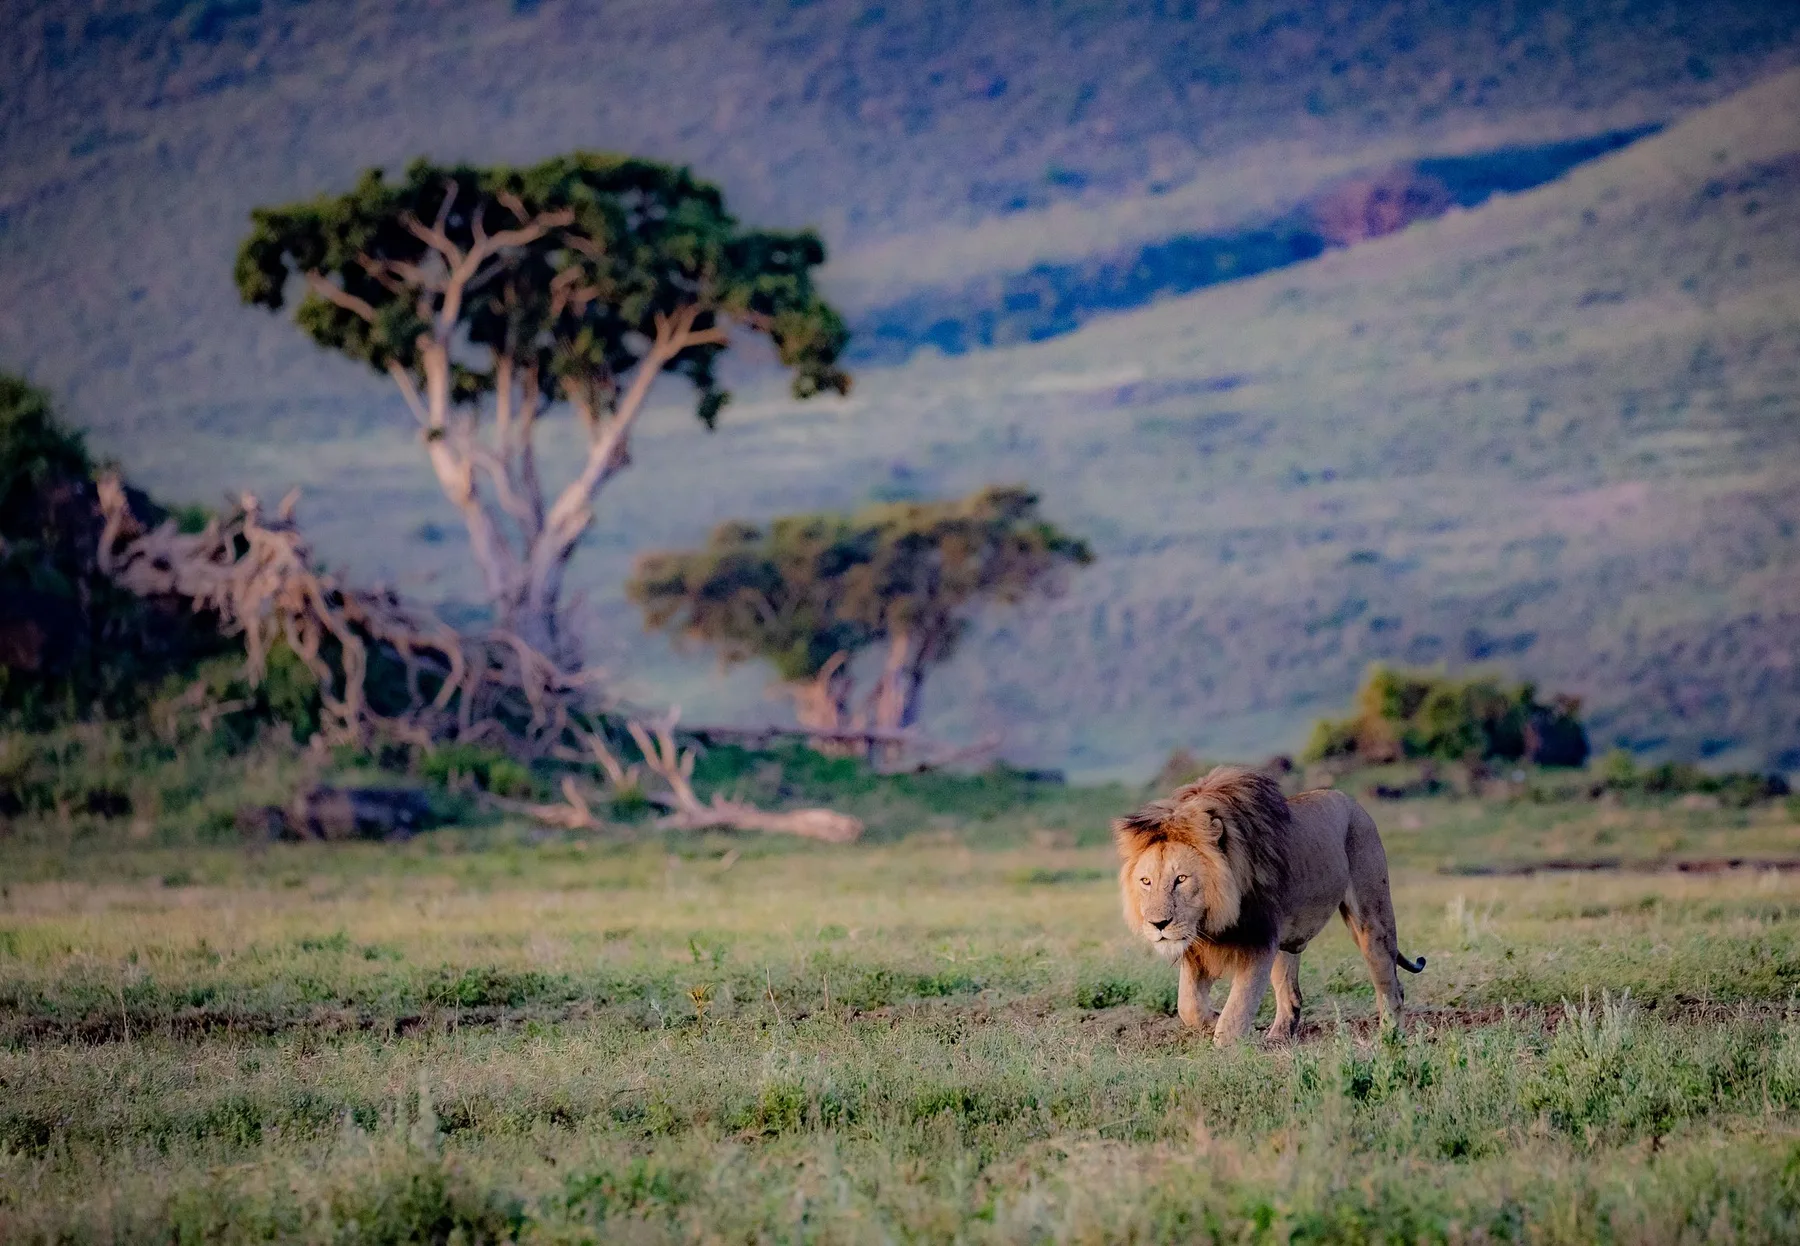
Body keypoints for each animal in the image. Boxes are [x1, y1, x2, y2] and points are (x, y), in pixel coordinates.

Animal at [1114, 765, 1426, 1047]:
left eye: (1181, 879)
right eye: (1146, 881)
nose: (1158, 924)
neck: (1211, 920)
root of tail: (1351, 801)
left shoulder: (1259, 939)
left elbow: (1237, 1011)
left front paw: (1227, 1042)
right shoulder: (1200, 948)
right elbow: (1187, 1006)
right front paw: (1212, 1019)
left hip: (1372, 917)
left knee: (1389, 983)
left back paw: (1390, 1038)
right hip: (1286, 939)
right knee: (1292, 994)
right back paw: (1278, 1037)